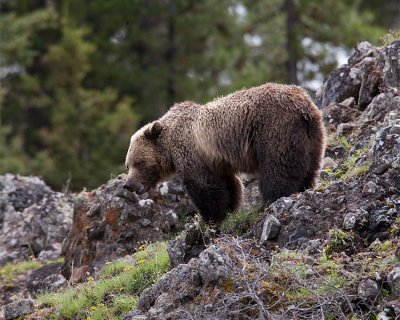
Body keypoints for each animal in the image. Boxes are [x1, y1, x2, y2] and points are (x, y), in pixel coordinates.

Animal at [124, 83, 324, 222]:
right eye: (127, 165)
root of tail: (303, 107)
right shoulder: (217, 161)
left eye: (138, 162)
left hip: (274, 129)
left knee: (277, 168)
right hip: (312, 136)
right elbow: (229, 185)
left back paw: (270, 201)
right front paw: (229, 208)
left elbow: (203, 186)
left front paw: (209, 217)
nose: (127, 185)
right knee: (309, 167)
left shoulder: (190, 152)